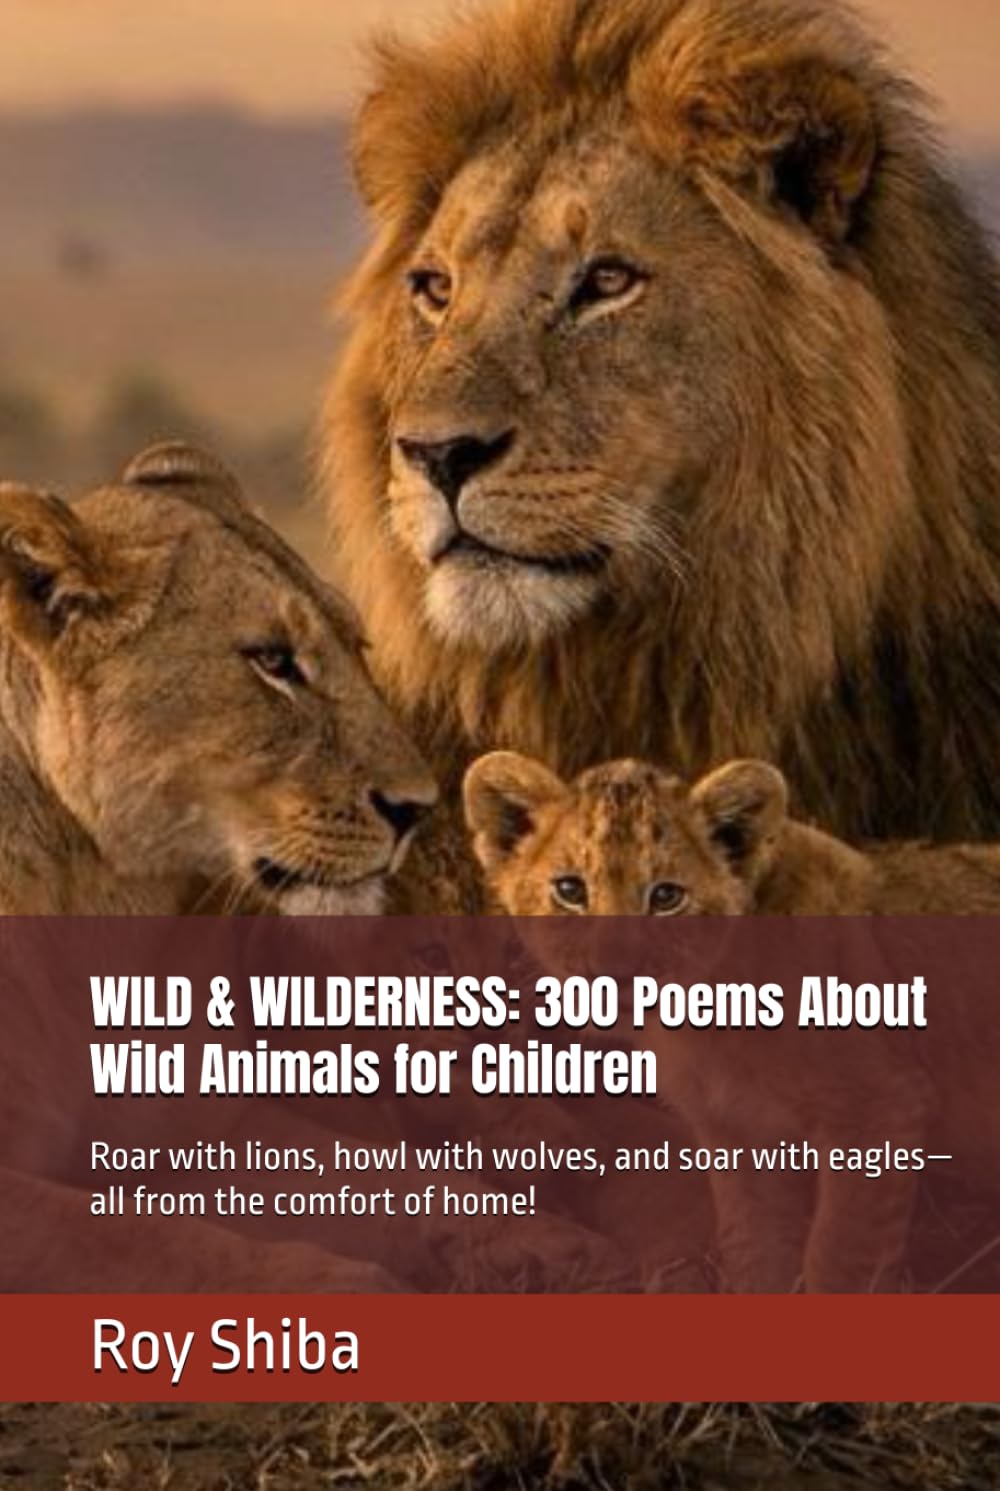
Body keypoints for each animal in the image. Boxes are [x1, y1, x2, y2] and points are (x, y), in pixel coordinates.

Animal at [464, 749, 1000, 1289]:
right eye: (570, 890)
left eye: (666, 897)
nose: (614, 971)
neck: (712, 1016)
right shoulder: (738, 1134)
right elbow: (755, 1253)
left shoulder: (879, 1109)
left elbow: (839, 1259)